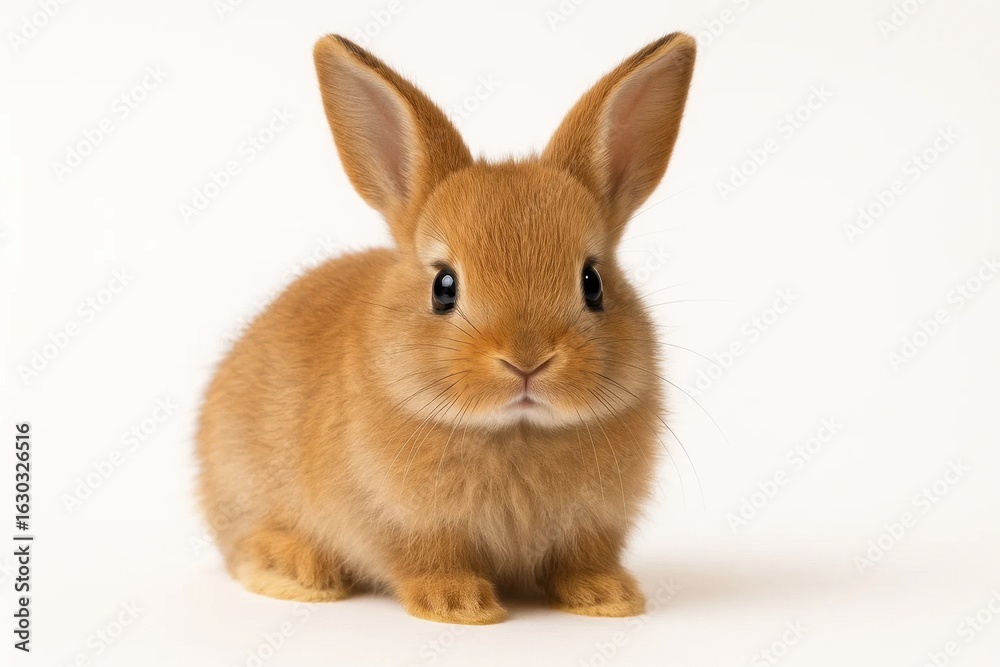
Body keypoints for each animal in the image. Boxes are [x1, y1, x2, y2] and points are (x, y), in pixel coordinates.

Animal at [196, 31, 696, 625]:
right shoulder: (405, 525)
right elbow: (428, 561)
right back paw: (299, 573)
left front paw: (609, 597)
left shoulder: (593, 527)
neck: (515, 431)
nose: (527, 361)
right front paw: (460, 605)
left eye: (592, 282)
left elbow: (581, 561)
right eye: (444, 286)